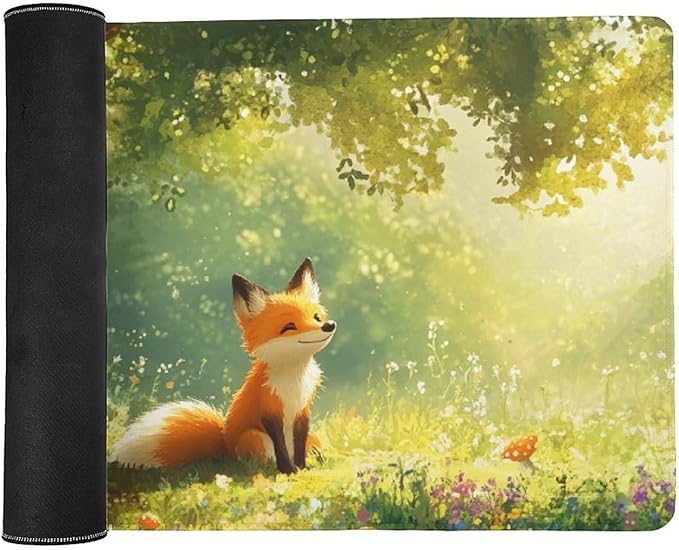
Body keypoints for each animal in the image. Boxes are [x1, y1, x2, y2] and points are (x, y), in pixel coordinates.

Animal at [110, 258, 336, 474]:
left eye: (317, 317)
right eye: (289, 327)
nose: (328, 325)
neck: (294, 380)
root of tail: (225, 445)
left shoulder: (303, 411)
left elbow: (299, 445)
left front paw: (302, 468)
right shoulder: (269, 411)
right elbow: (280, 447)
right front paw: (289, 471)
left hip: (314, 438)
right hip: (254, 437)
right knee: (258, 461)